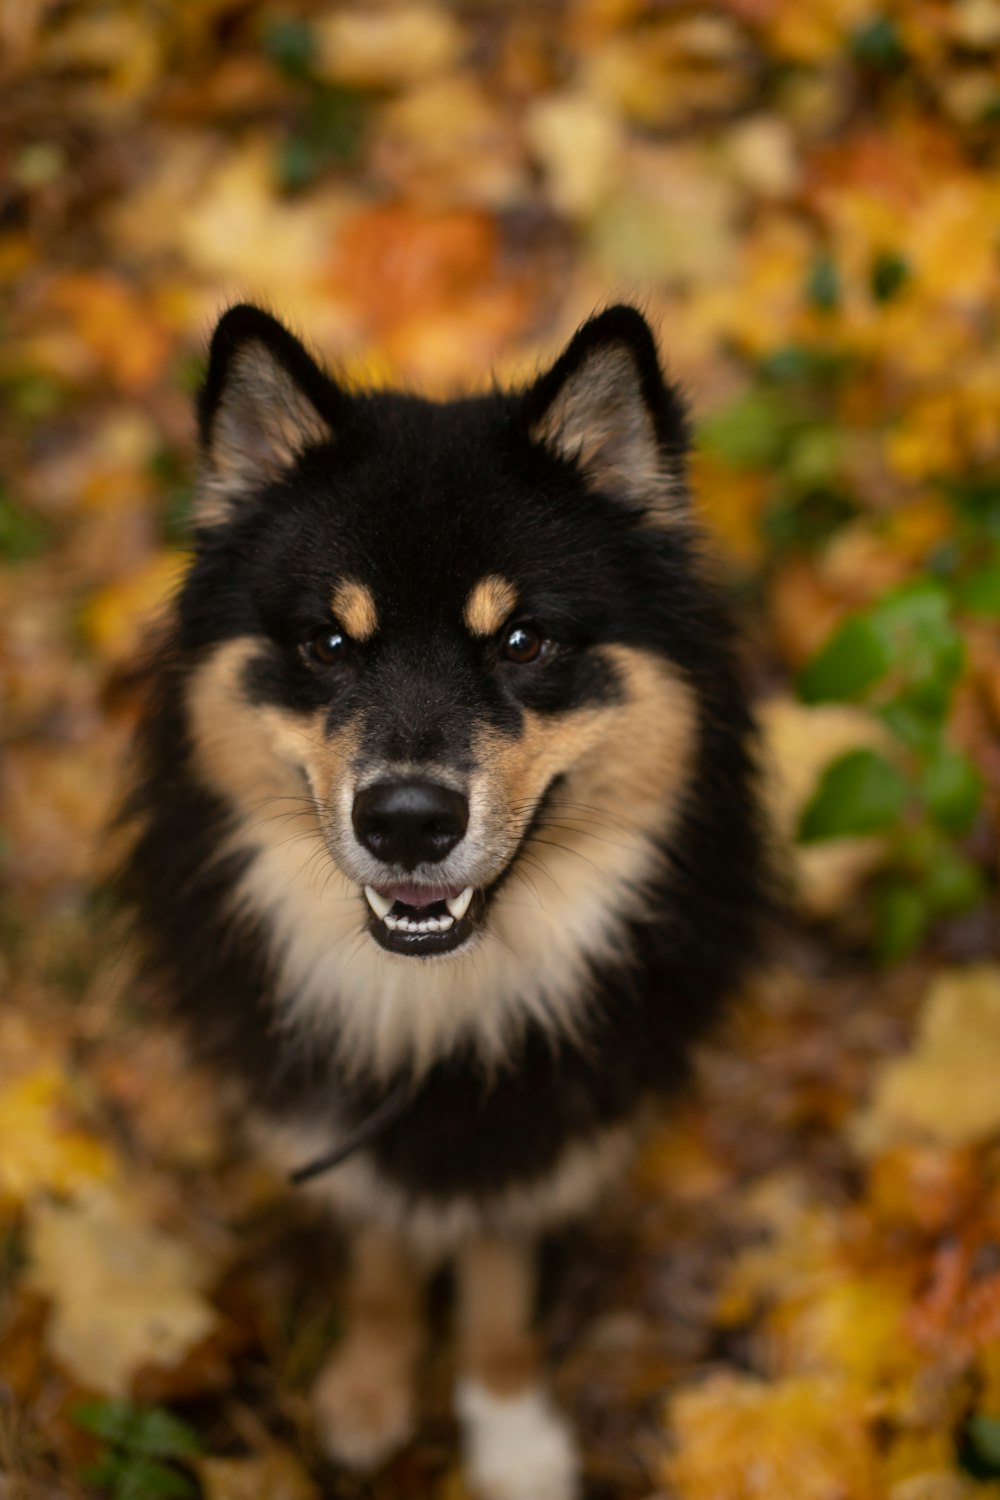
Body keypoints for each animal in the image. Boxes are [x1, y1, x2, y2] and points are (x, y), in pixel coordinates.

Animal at [122, 301, 767, 1488]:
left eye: (522, 640)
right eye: (328, 642)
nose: (409, 822)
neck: (441, 1005)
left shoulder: (539, 1136)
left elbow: (501, 1294)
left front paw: (514, 1443)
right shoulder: (342, 1119)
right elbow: (381, 1264)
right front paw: (370, 1392)